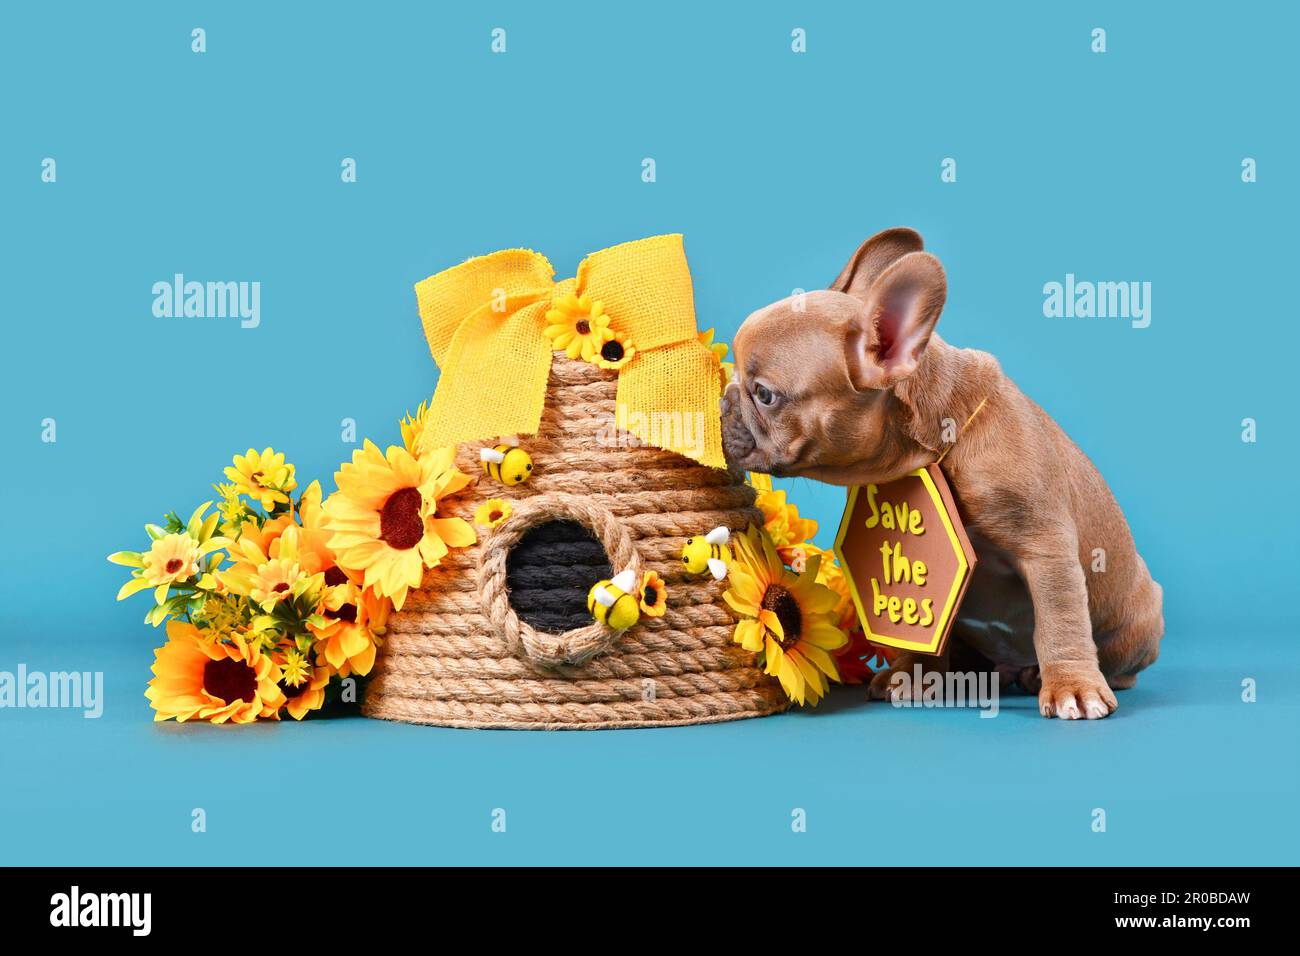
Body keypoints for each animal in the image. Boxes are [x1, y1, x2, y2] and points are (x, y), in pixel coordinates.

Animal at [722, 230, 1170, 717]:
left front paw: (1072, 686)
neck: (939, 446)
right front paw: (913, 673)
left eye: (765, 394)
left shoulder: (1045, 548)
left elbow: (1059, 622)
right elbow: (925, 623)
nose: (723, 396)